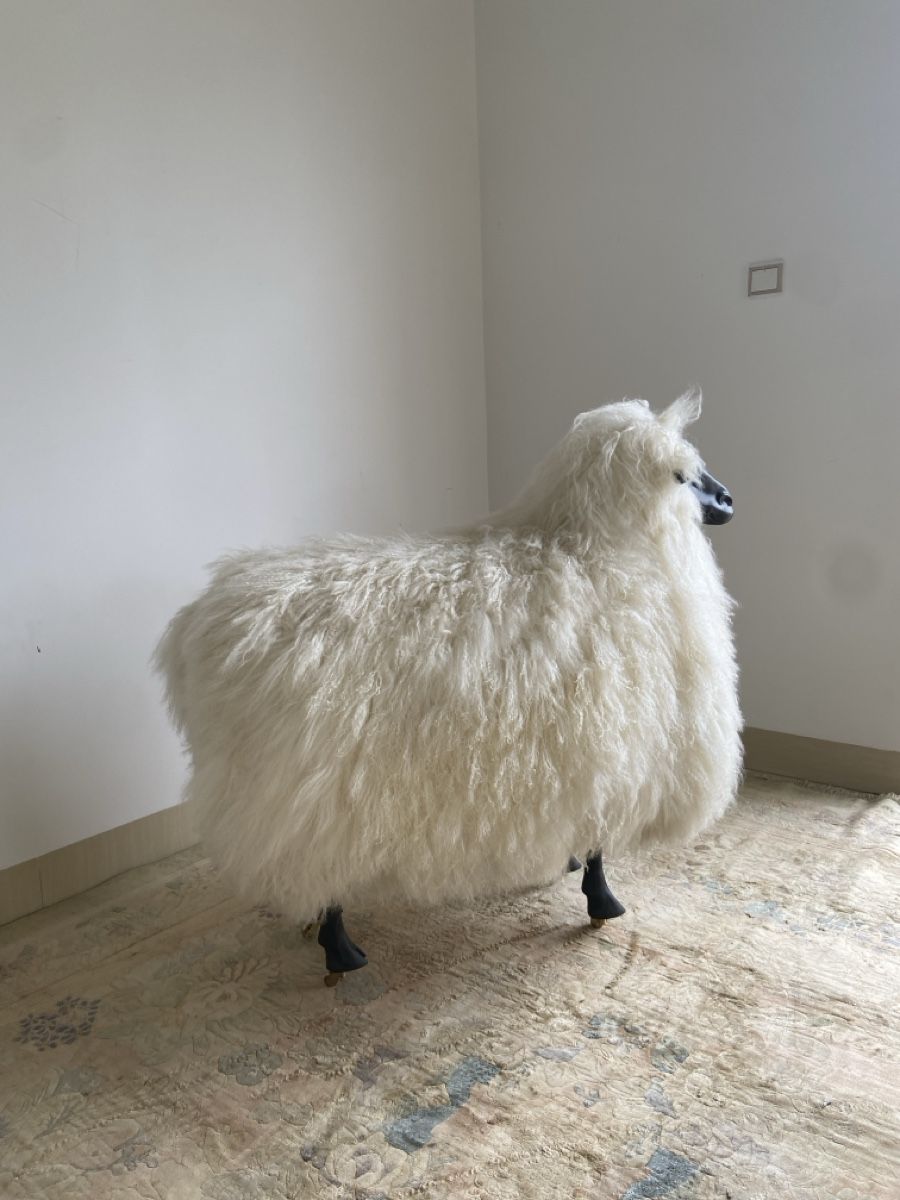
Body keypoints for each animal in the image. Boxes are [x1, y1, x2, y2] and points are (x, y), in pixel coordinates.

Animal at [155, 389, 741, 984]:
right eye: (681, 476)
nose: (729, 500)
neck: (600, 547)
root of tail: (198, 630)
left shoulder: (582, 760)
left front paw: (568, 864)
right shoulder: (616, 748)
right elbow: (600, 847)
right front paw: (602, 902)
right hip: (304, 794)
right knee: (316, 871)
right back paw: (339, 950)